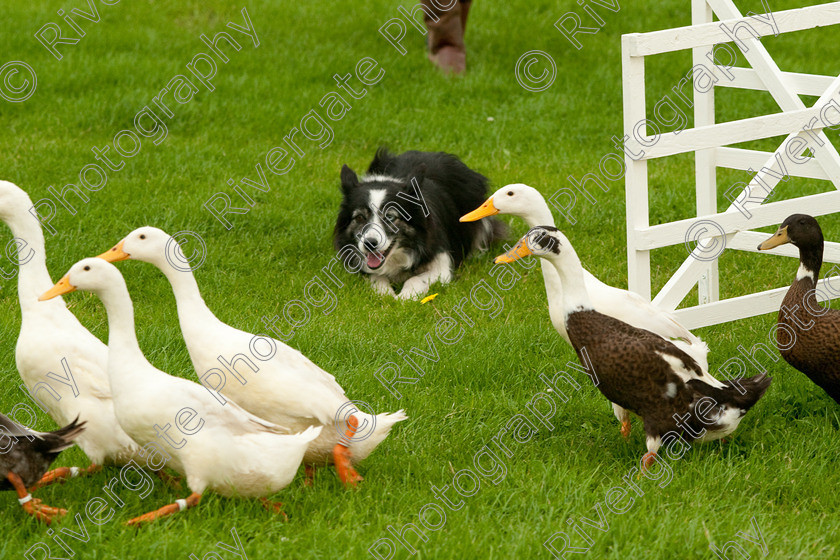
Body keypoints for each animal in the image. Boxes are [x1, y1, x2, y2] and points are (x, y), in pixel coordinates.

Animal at [334, 148, 506, 298]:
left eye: (390, 217)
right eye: (359, 218)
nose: (370, 244)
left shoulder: (441, 263)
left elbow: (415, 279)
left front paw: (403, 298)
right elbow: (375, 277)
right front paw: (386, 294)